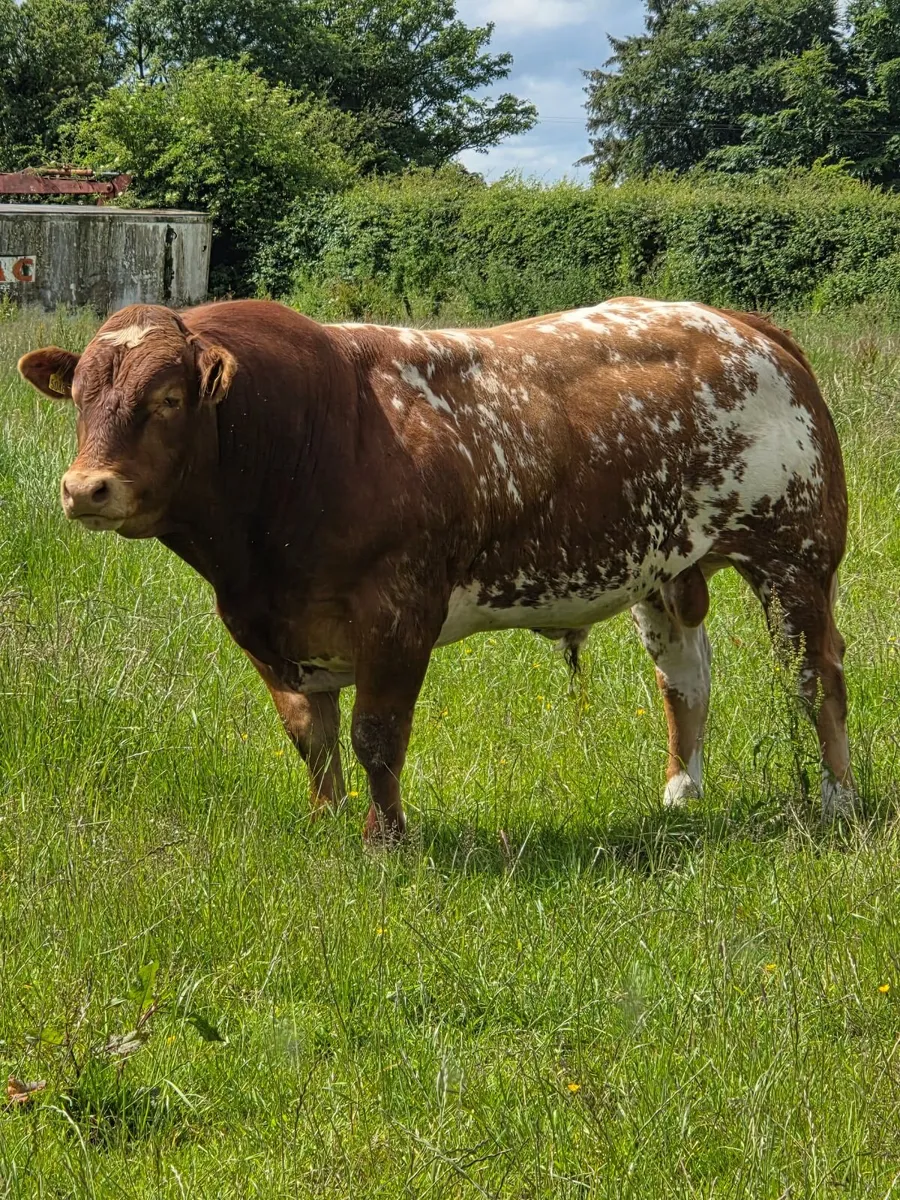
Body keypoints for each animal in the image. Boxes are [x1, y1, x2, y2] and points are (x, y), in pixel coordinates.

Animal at [18, 296, 857, 842]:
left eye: (167, 397)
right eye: (81, 395)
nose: (86, 488)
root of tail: (742, 325)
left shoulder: (398, 614)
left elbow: (375, 734)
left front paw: (385, 838)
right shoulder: (263, 627)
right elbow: (311, 735)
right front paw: (325, 825)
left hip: (796, 557)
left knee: (817, 675)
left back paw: (837, 800)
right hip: (663, 568)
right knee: (684, 680)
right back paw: (680, 794)